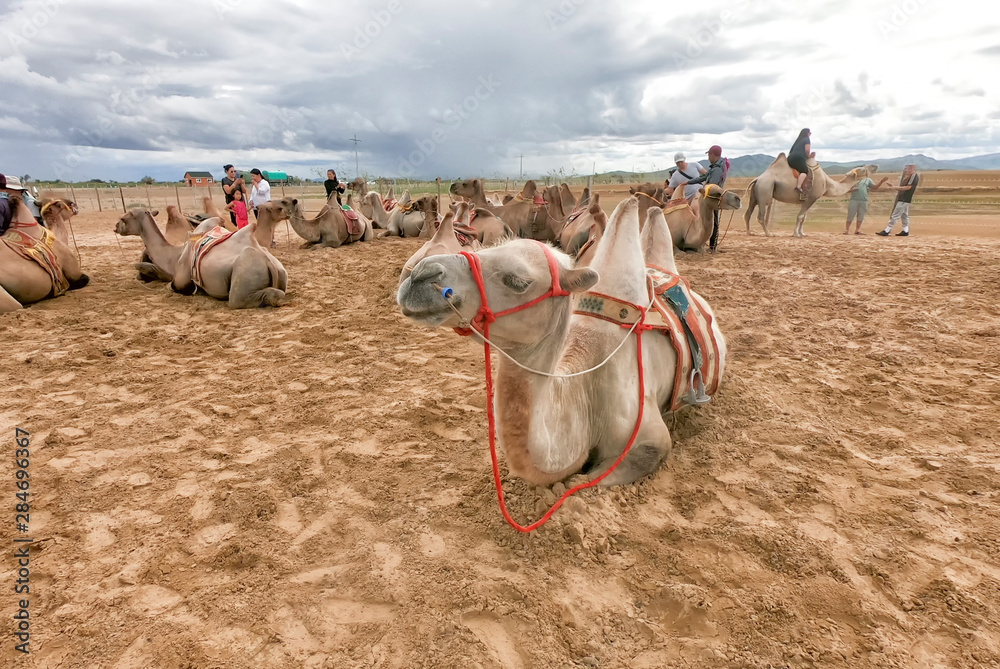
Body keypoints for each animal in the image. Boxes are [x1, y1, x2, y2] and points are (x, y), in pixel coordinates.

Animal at [744, 154, 879, 237]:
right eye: (862, 169)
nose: (875, 165)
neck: (826, 183)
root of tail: (757, 179)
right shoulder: (812, 197)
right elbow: (800, 216)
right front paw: (796, 234)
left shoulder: (806, 200)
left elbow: (804, 217)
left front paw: (802, 233)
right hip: (765, 190)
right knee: (760, 216)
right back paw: (769, 234)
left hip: (755, 194)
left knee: (747, 213)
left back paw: (749, 232)